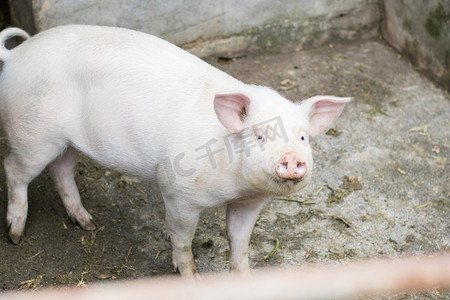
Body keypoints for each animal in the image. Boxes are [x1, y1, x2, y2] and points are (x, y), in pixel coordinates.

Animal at [0, 25, 350, 276]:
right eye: (260, 135)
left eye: (303, 137)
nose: (291, 156)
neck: (234, 186)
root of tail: (16, 55)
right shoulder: (179, 194)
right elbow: (182, 240)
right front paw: (190, 277)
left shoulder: (249, 203)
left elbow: (239, 243)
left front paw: (244, 278)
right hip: (33, 135)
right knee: (13, 168)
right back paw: (15, 235)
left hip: (67, 141)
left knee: (61, 170)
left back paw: (88, 223)